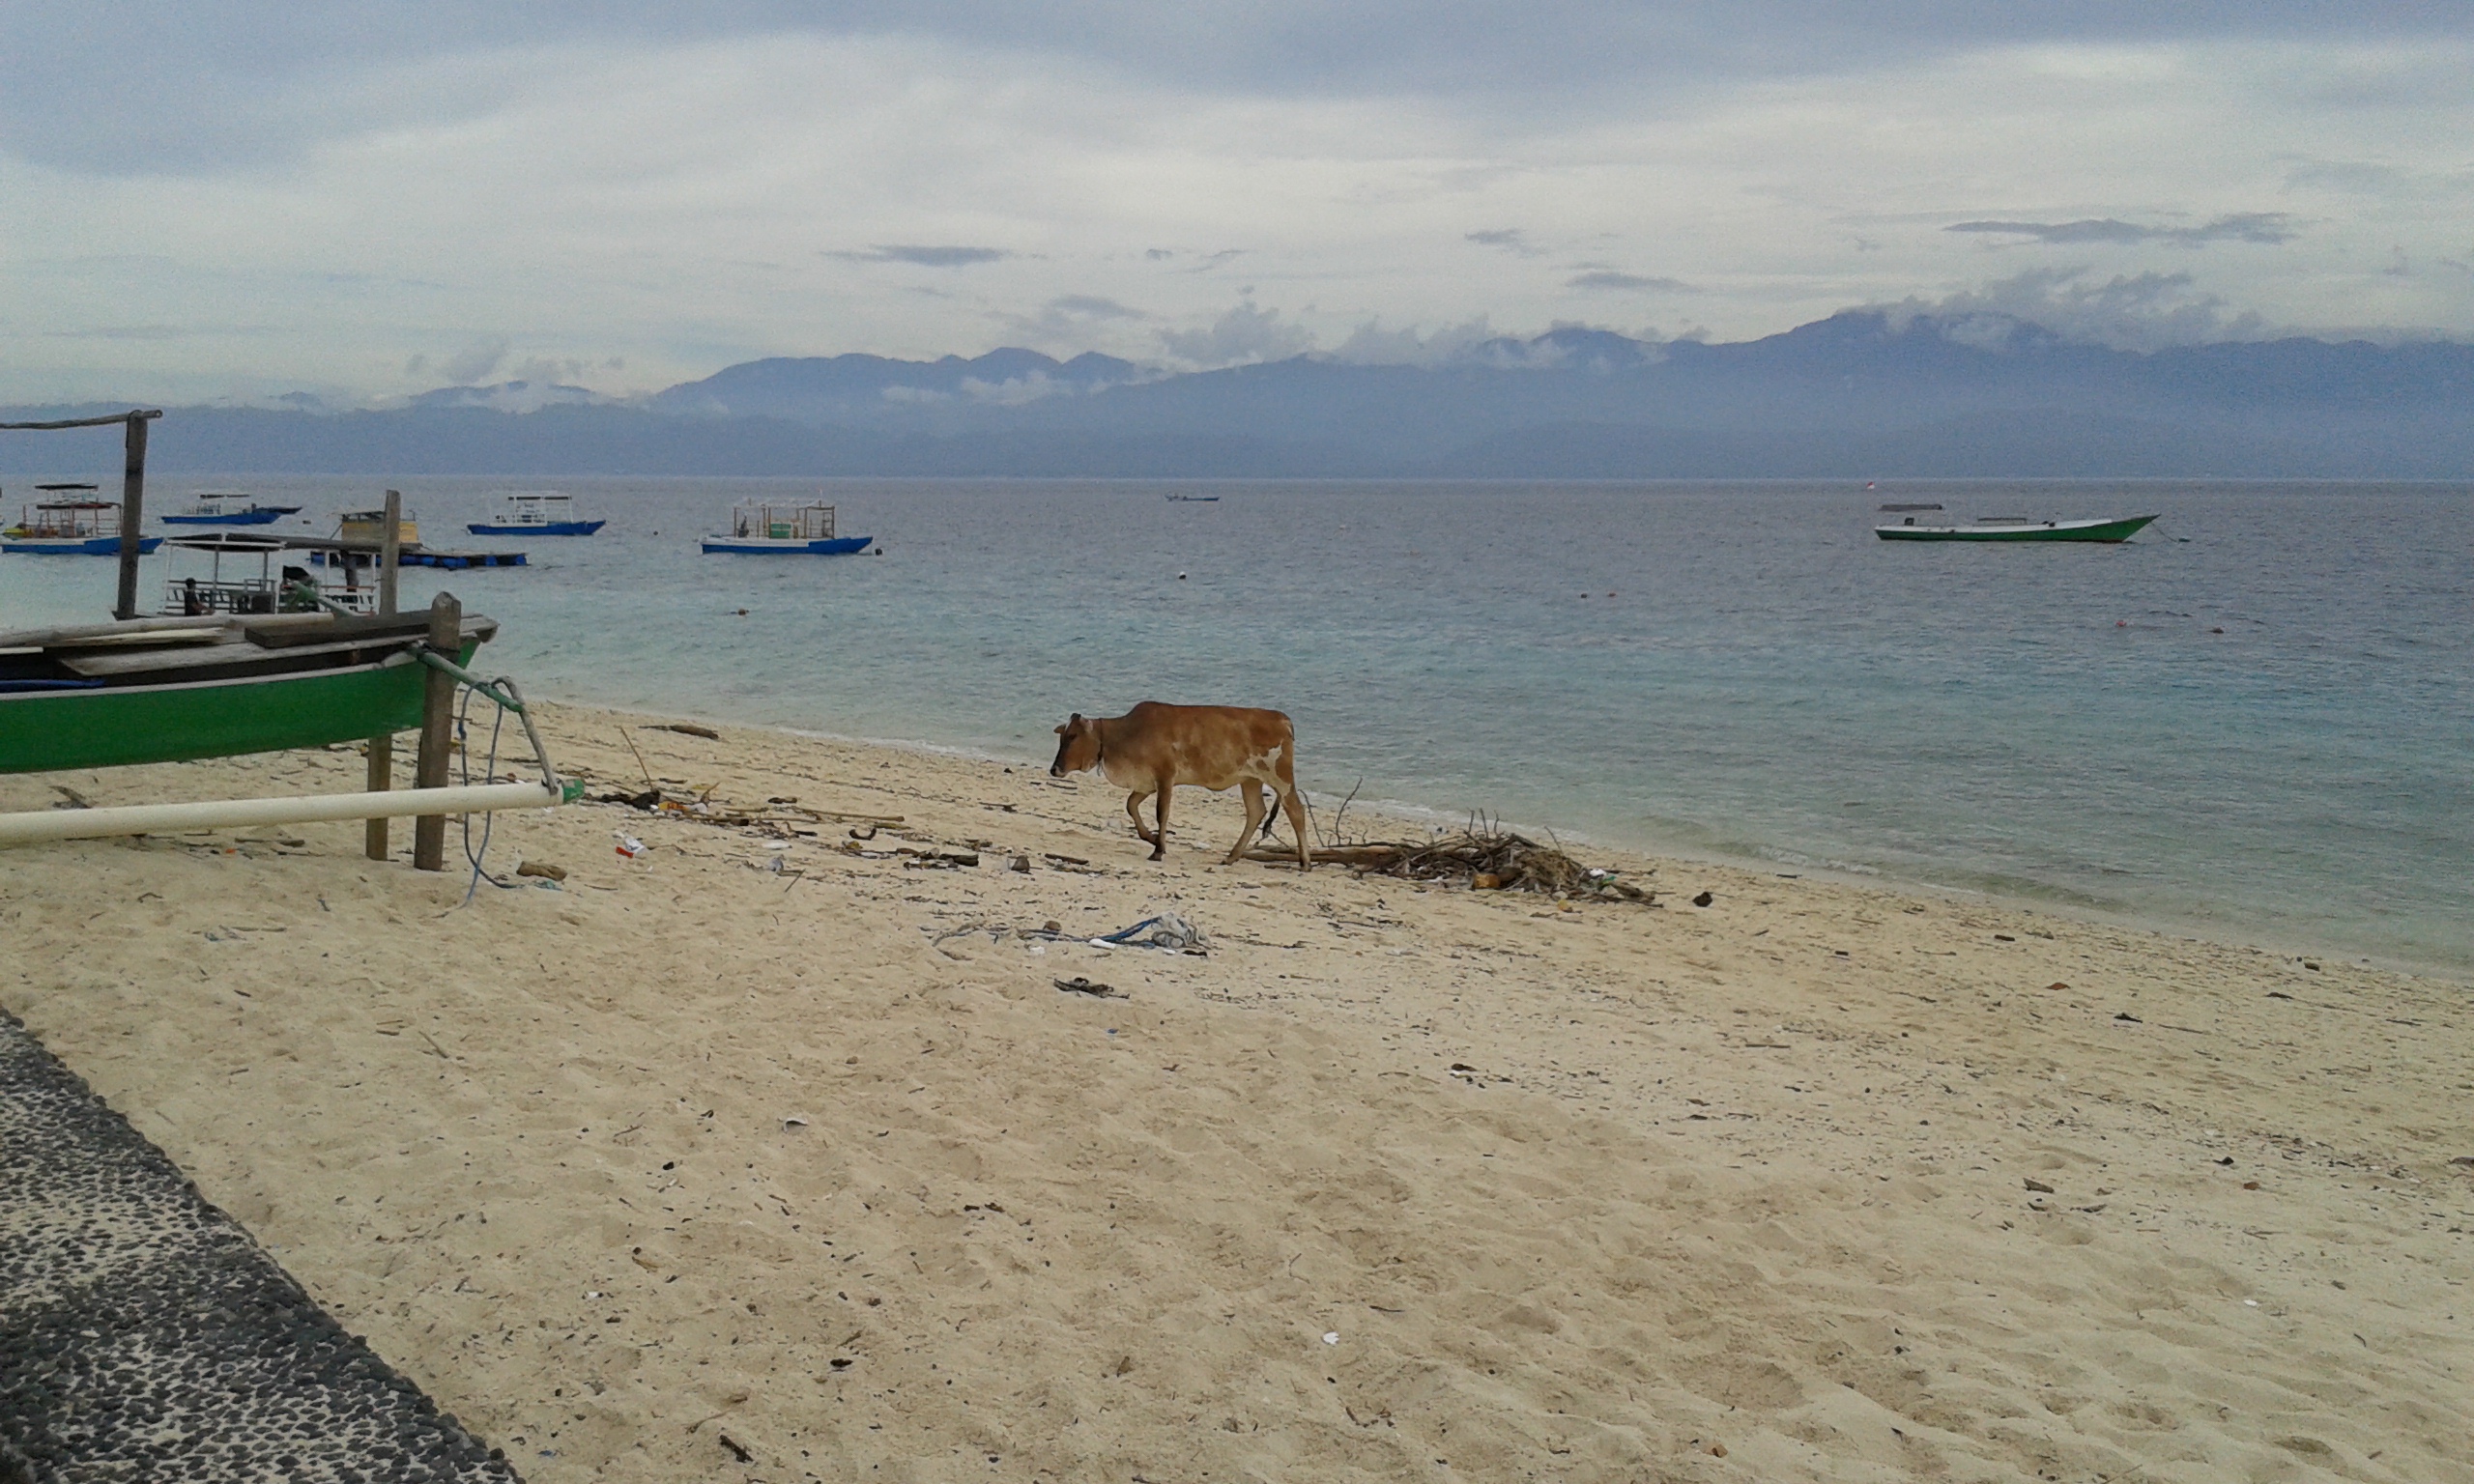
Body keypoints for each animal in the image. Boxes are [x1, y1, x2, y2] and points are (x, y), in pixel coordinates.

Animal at [1049, 702, 1315, 870]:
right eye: (1062, 737)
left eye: (1072, 736)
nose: (1054, 769)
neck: (1126, 735)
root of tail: (1282, 718)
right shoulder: (1146, 783)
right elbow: (1131, 806)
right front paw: (1151, 839)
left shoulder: (1165, 777)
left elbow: (1161, 813)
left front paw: (1158, 849)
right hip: (1250, 780)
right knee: (1256, 811)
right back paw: (1231, 857)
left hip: (1280, 776)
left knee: (1296, 810)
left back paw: (1304, 862)